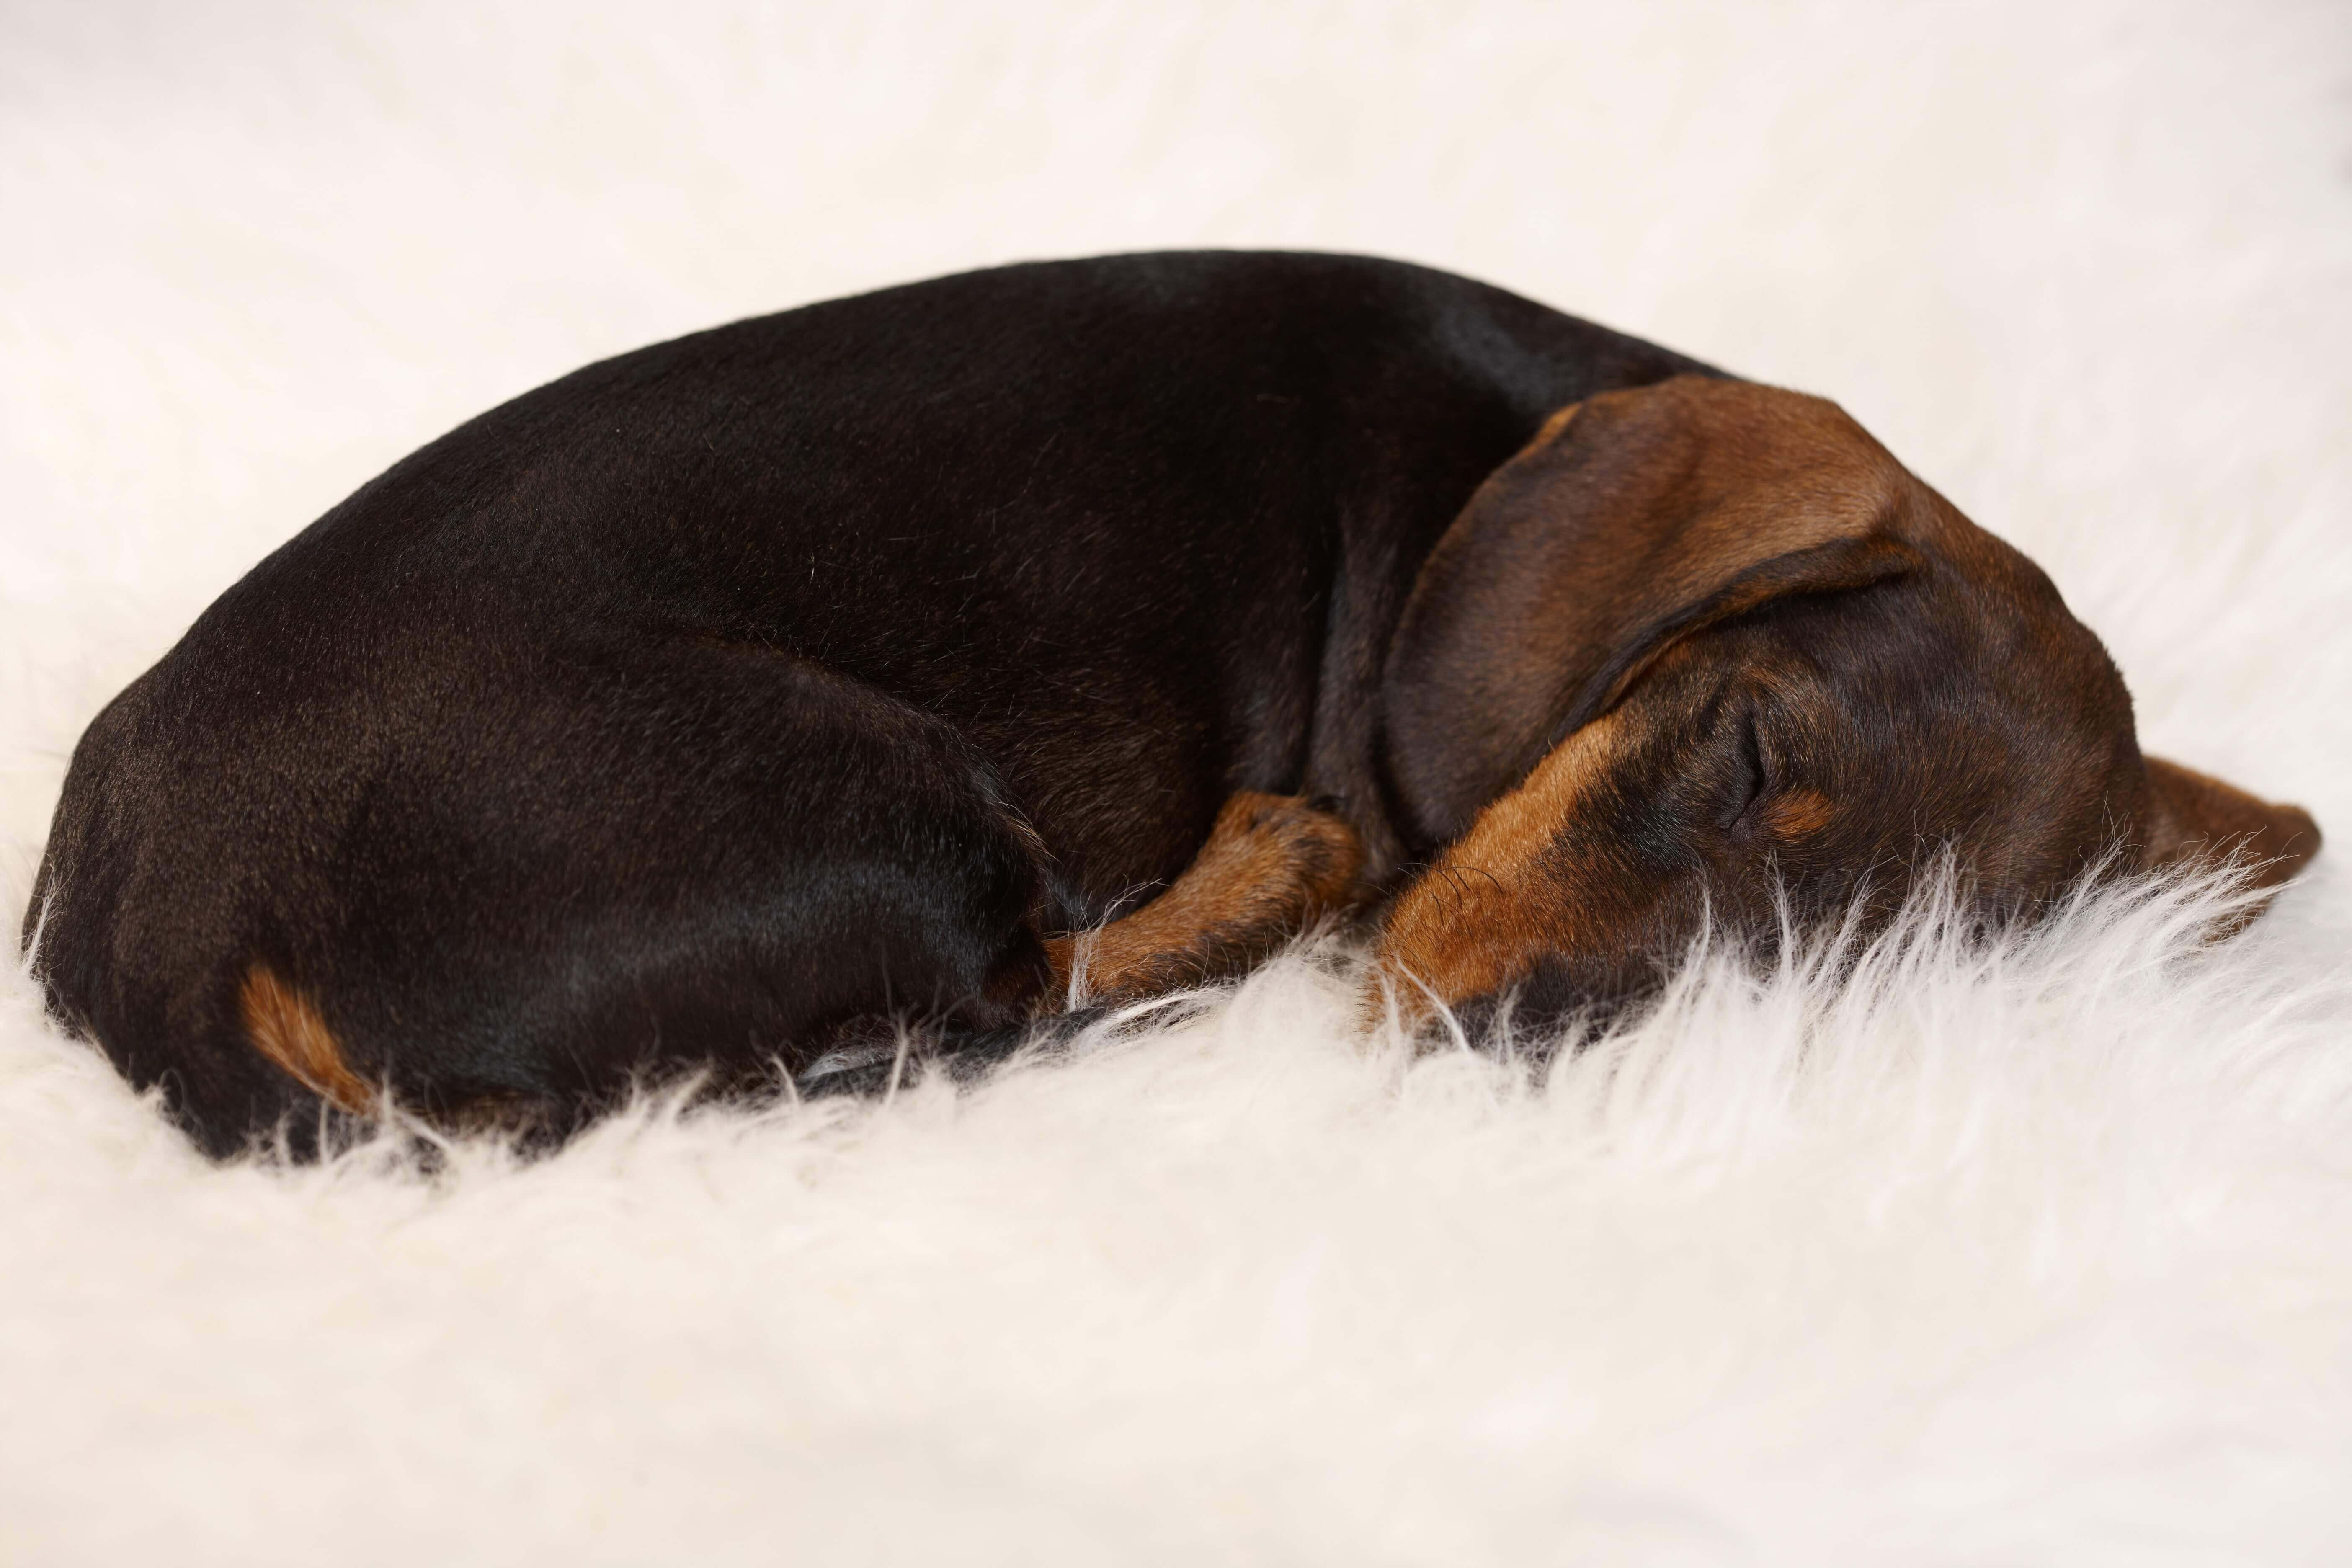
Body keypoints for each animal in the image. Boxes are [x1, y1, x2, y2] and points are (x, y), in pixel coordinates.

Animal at [18, 251, 2314, 1161]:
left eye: (1851, 969)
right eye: (1744, 751)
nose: (1504, 1036)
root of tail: (158, 915)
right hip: (878, 800)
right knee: (1027, 993)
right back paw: (1267, 858)